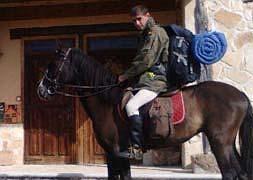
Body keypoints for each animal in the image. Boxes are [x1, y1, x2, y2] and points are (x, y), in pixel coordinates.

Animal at [37, 47, 253, 180]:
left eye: (53, 65)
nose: (41, 89)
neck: (108, 99)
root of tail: (240, 94)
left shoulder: (116, 152)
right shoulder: (112, 154)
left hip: (220, 143)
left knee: (229, 173)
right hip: (227, 144)